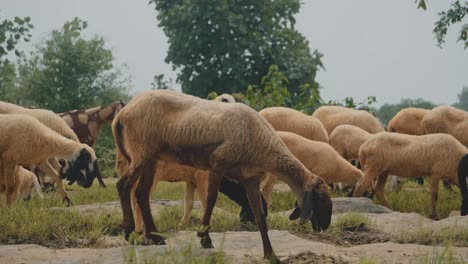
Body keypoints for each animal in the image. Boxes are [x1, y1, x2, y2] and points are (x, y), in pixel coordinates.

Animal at [112, 89, 332, 262]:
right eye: (320, 197)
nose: (325, 226)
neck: (263, 144)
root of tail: (123, 112)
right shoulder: (218, 164)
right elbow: (210, 200)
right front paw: (204, 237)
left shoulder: (250, 178)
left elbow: (259, 214)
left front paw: (271, 255)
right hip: (141, 152)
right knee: (124, 186)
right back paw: (130, 233)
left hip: (151, 158)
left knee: (141, 193)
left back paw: (155, 237)